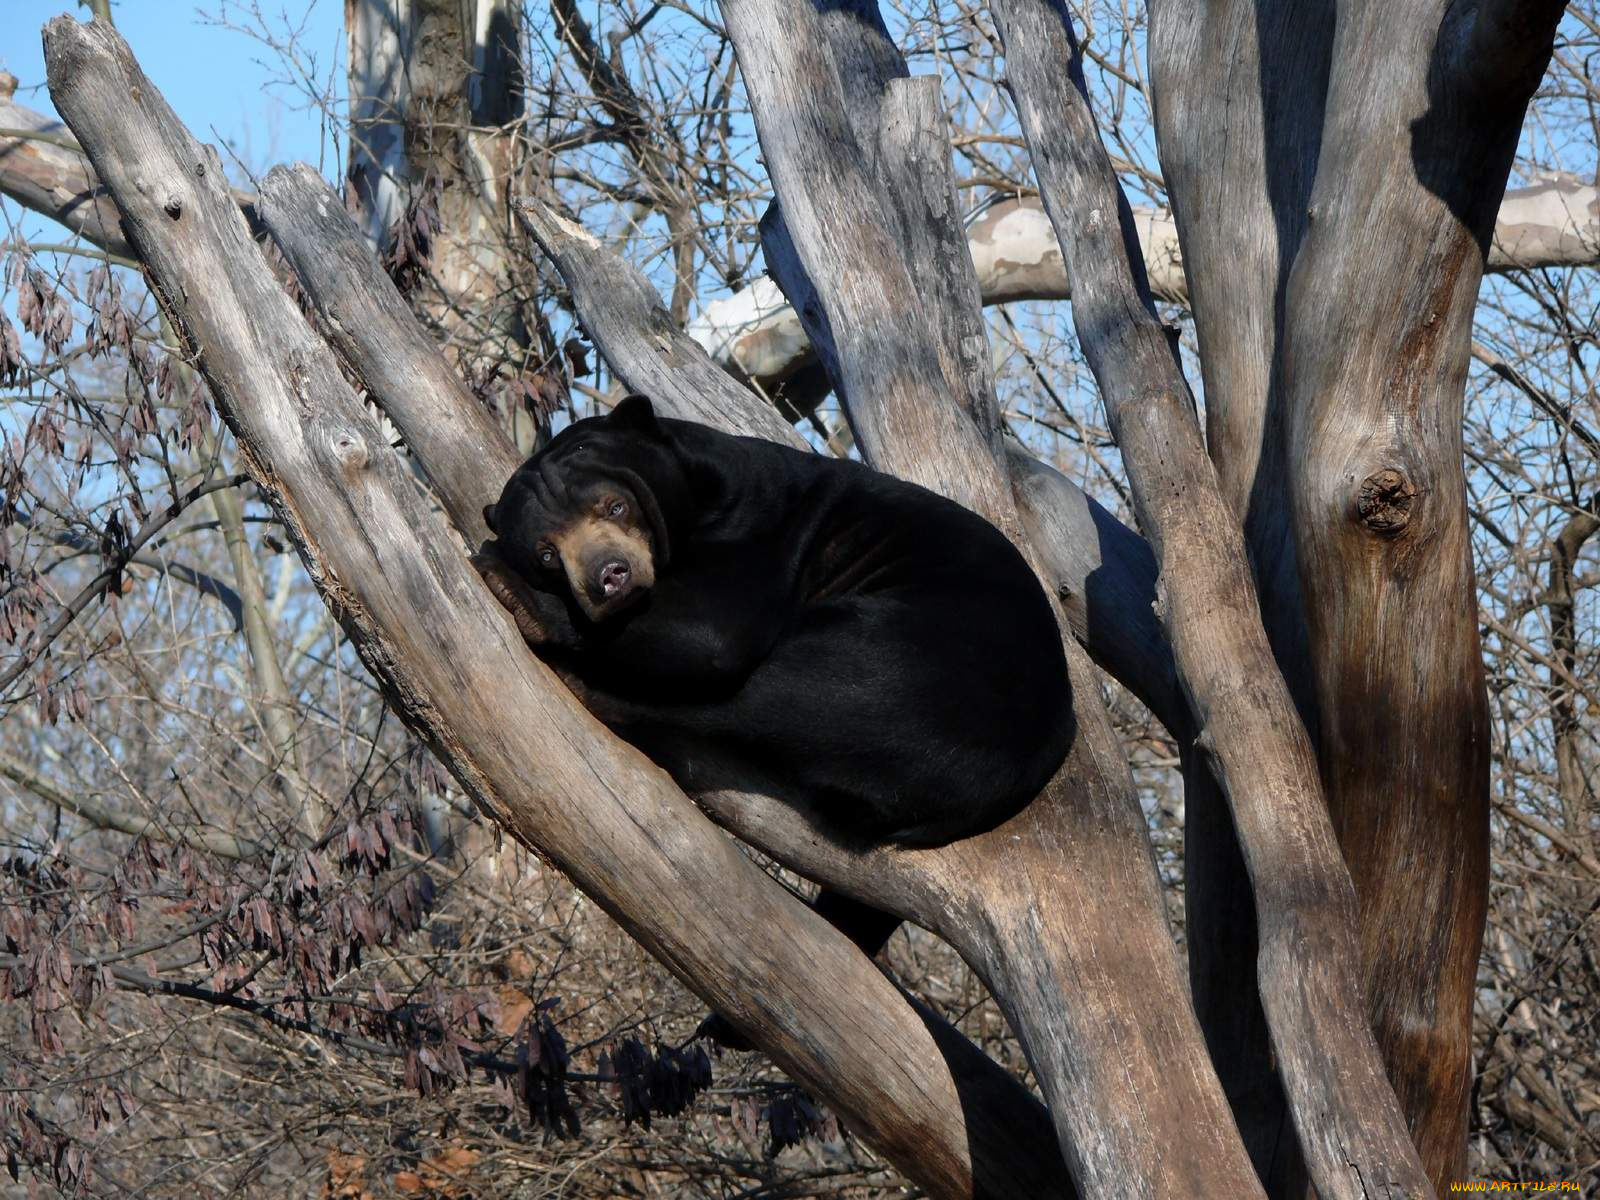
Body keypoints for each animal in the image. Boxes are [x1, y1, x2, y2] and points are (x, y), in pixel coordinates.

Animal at [472, 395, 1073, 972]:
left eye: (614, 506)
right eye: (547, 552)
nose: (608, 578)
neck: (695, 489)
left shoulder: (756, 532)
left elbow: (712, 632)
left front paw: (509, 579)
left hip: (902, 669)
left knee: (774, 694)